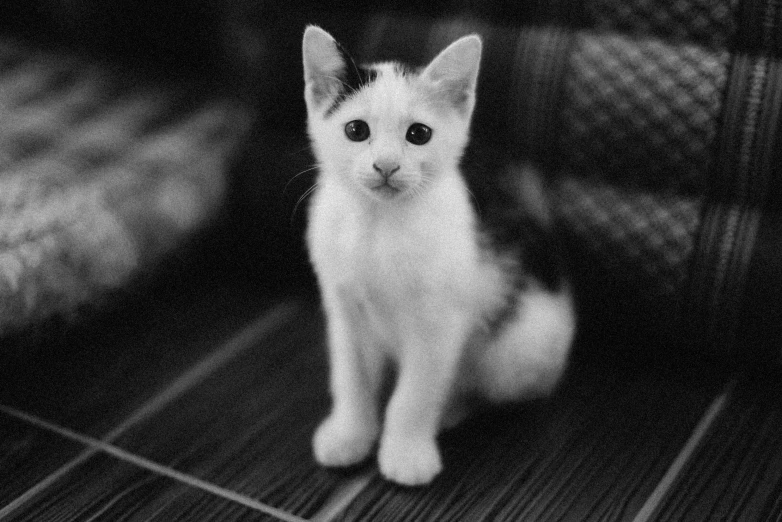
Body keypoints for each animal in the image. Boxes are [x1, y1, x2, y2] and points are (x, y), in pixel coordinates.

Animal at [300, 25, 576, 484]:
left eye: (418, 134)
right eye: (356, 130)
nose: (386, 165)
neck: (379, 224)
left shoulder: (439, 324)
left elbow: (415, 393)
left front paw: (406, 452)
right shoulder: (344, 310)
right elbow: (351, 377)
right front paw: (349, 434)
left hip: (519, 349)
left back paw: (452, 408)